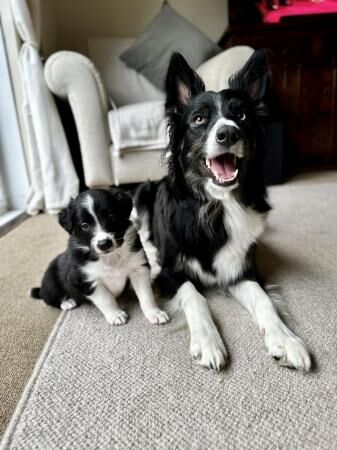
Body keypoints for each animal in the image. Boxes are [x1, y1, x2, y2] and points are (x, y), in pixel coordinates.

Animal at [30, 188, 168, 326]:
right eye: (85, 225)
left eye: (112, 216)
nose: (104, 244)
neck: (111, 257)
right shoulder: (86, 280)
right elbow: (106, 299)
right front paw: (115, 314)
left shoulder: (139, 269)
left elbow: (146, 295)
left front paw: (154, 313)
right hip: (50, 281)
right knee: (49, 298)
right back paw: (67, 302)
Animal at [133, 51, 312, 370]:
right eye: (199, 119)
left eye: (241, 116)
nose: (228, 133)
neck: (216, 205)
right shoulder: (169, 272)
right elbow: (195, 296)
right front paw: (207, 341)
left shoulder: (241, 269)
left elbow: (264, 299)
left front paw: (286, 340)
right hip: (143, 193)